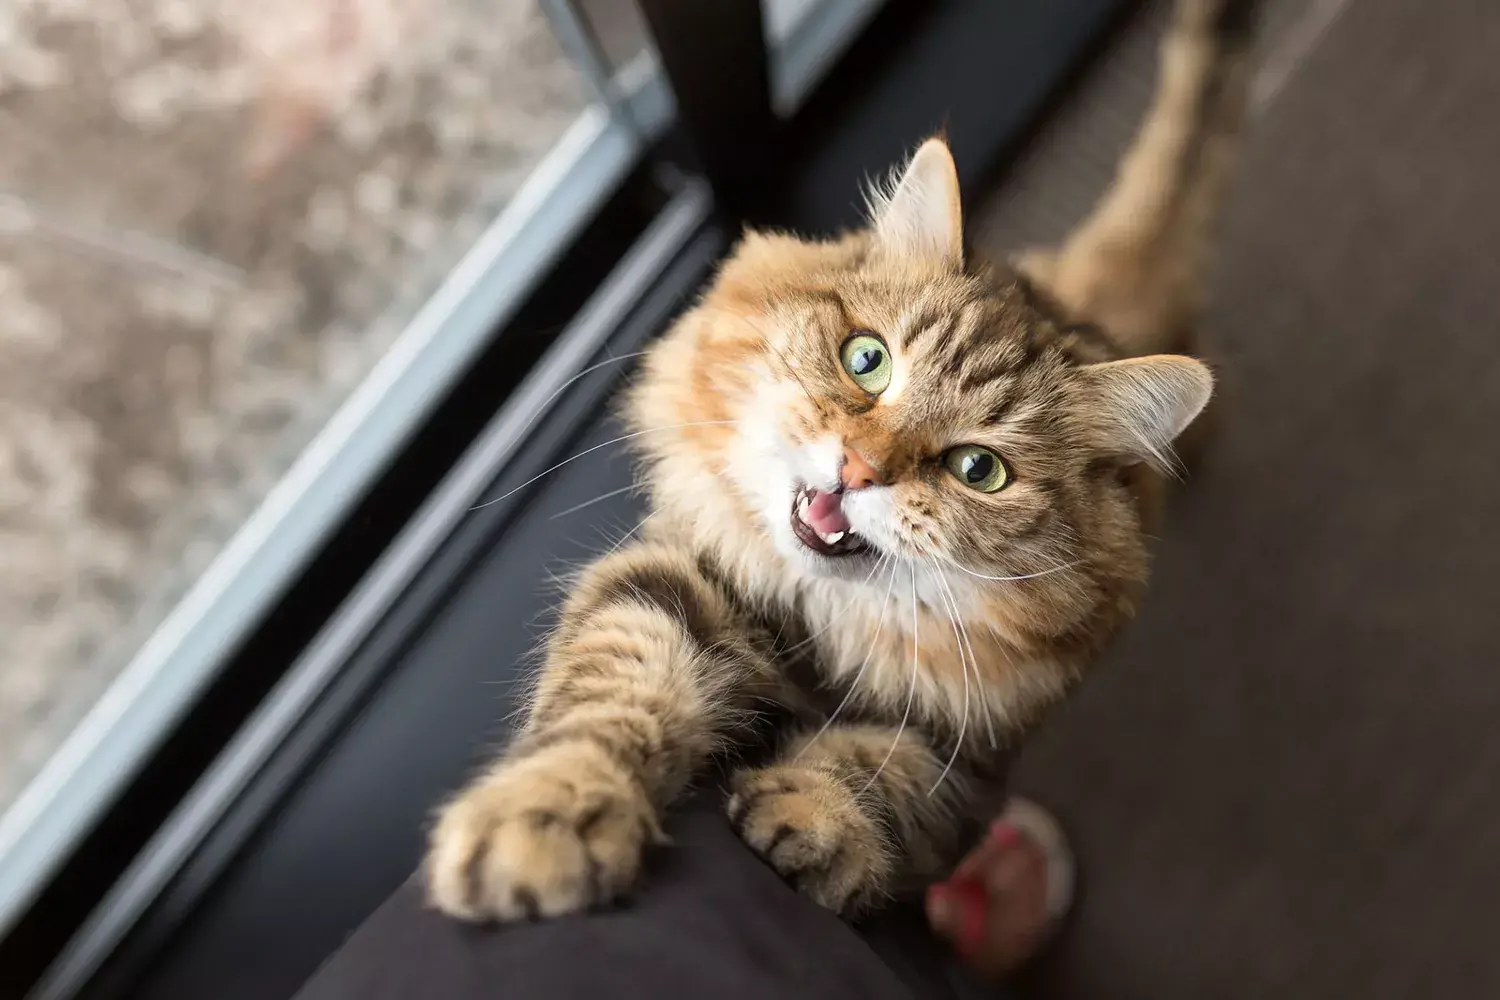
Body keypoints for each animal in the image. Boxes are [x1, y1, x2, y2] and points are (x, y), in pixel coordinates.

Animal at [429, 0, 1260, 923]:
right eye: (867, 360)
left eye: (979, 470)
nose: (859, 468)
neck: (816, 631)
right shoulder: (674, 576)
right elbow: (616, 688)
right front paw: (547, 819)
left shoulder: (970, 760)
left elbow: (880, 775)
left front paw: (807, 814)